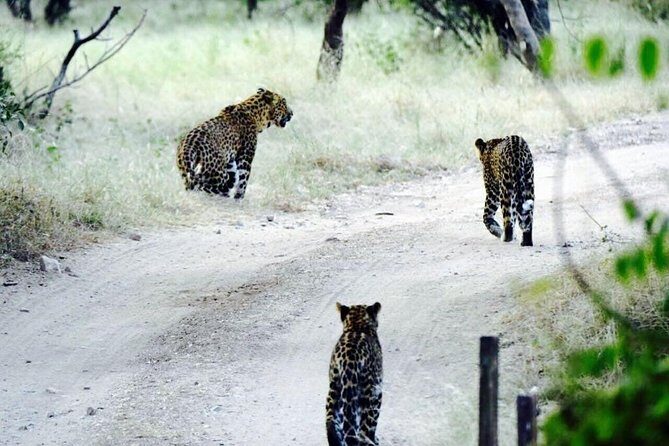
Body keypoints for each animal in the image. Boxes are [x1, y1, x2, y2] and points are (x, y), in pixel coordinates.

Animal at [326, 302, 383, 446]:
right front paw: (375, 439)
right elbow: (373, 423)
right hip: (368, 394)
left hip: (334, 390)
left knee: (331, 421)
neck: (356, 325)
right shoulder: (378, 392)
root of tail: (347, 360)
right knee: (363, 429)